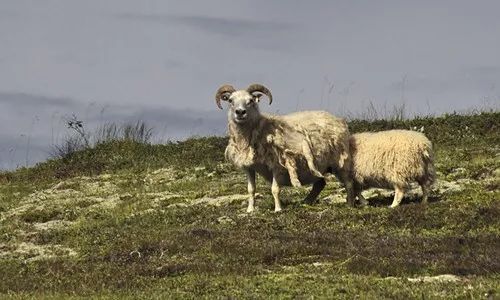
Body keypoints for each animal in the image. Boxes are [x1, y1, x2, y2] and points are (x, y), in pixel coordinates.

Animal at [215, 83, 356, 212]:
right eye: (230, 100)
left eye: (250, 101)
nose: (240, 112)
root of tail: (338, 120)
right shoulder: (249, 167)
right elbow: (251, 190)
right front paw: (250, 210)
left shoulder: (277, 165)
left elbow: (275, 189)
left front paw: (278, 209)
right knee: (320, 184)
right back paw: (306, 201)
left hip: (339, 161)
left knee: (348, 182)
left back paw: (350, 204)